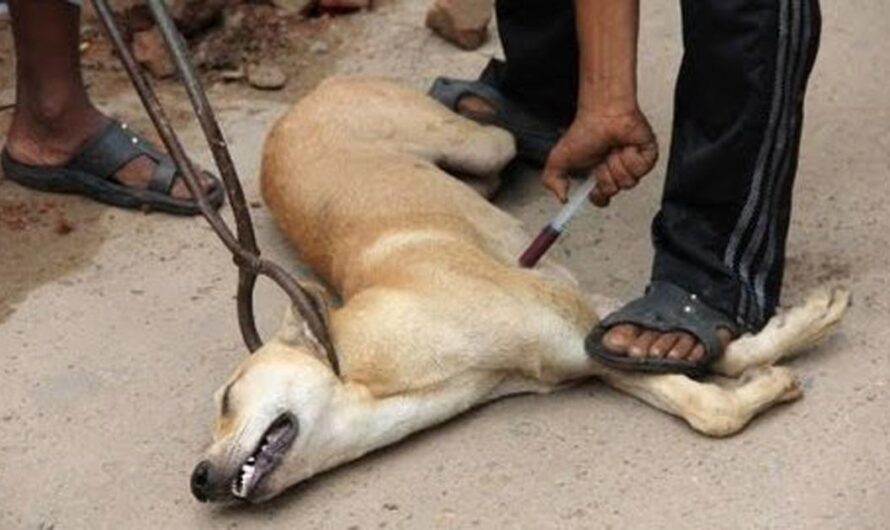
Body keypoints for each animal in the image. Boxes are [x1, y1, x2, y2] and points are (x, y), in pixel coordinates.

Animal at [189, 76, 848, 502]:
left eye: (227, 398)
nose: (197, 481)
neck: (372, 370)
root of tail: (299, 104)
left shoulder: (580, 320)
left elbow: (720, 367)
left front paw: (796, 332)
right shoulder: (581, 353)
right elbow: (704, 403)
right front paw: (763, 376)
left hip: (473, 143)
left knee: (501, 137)